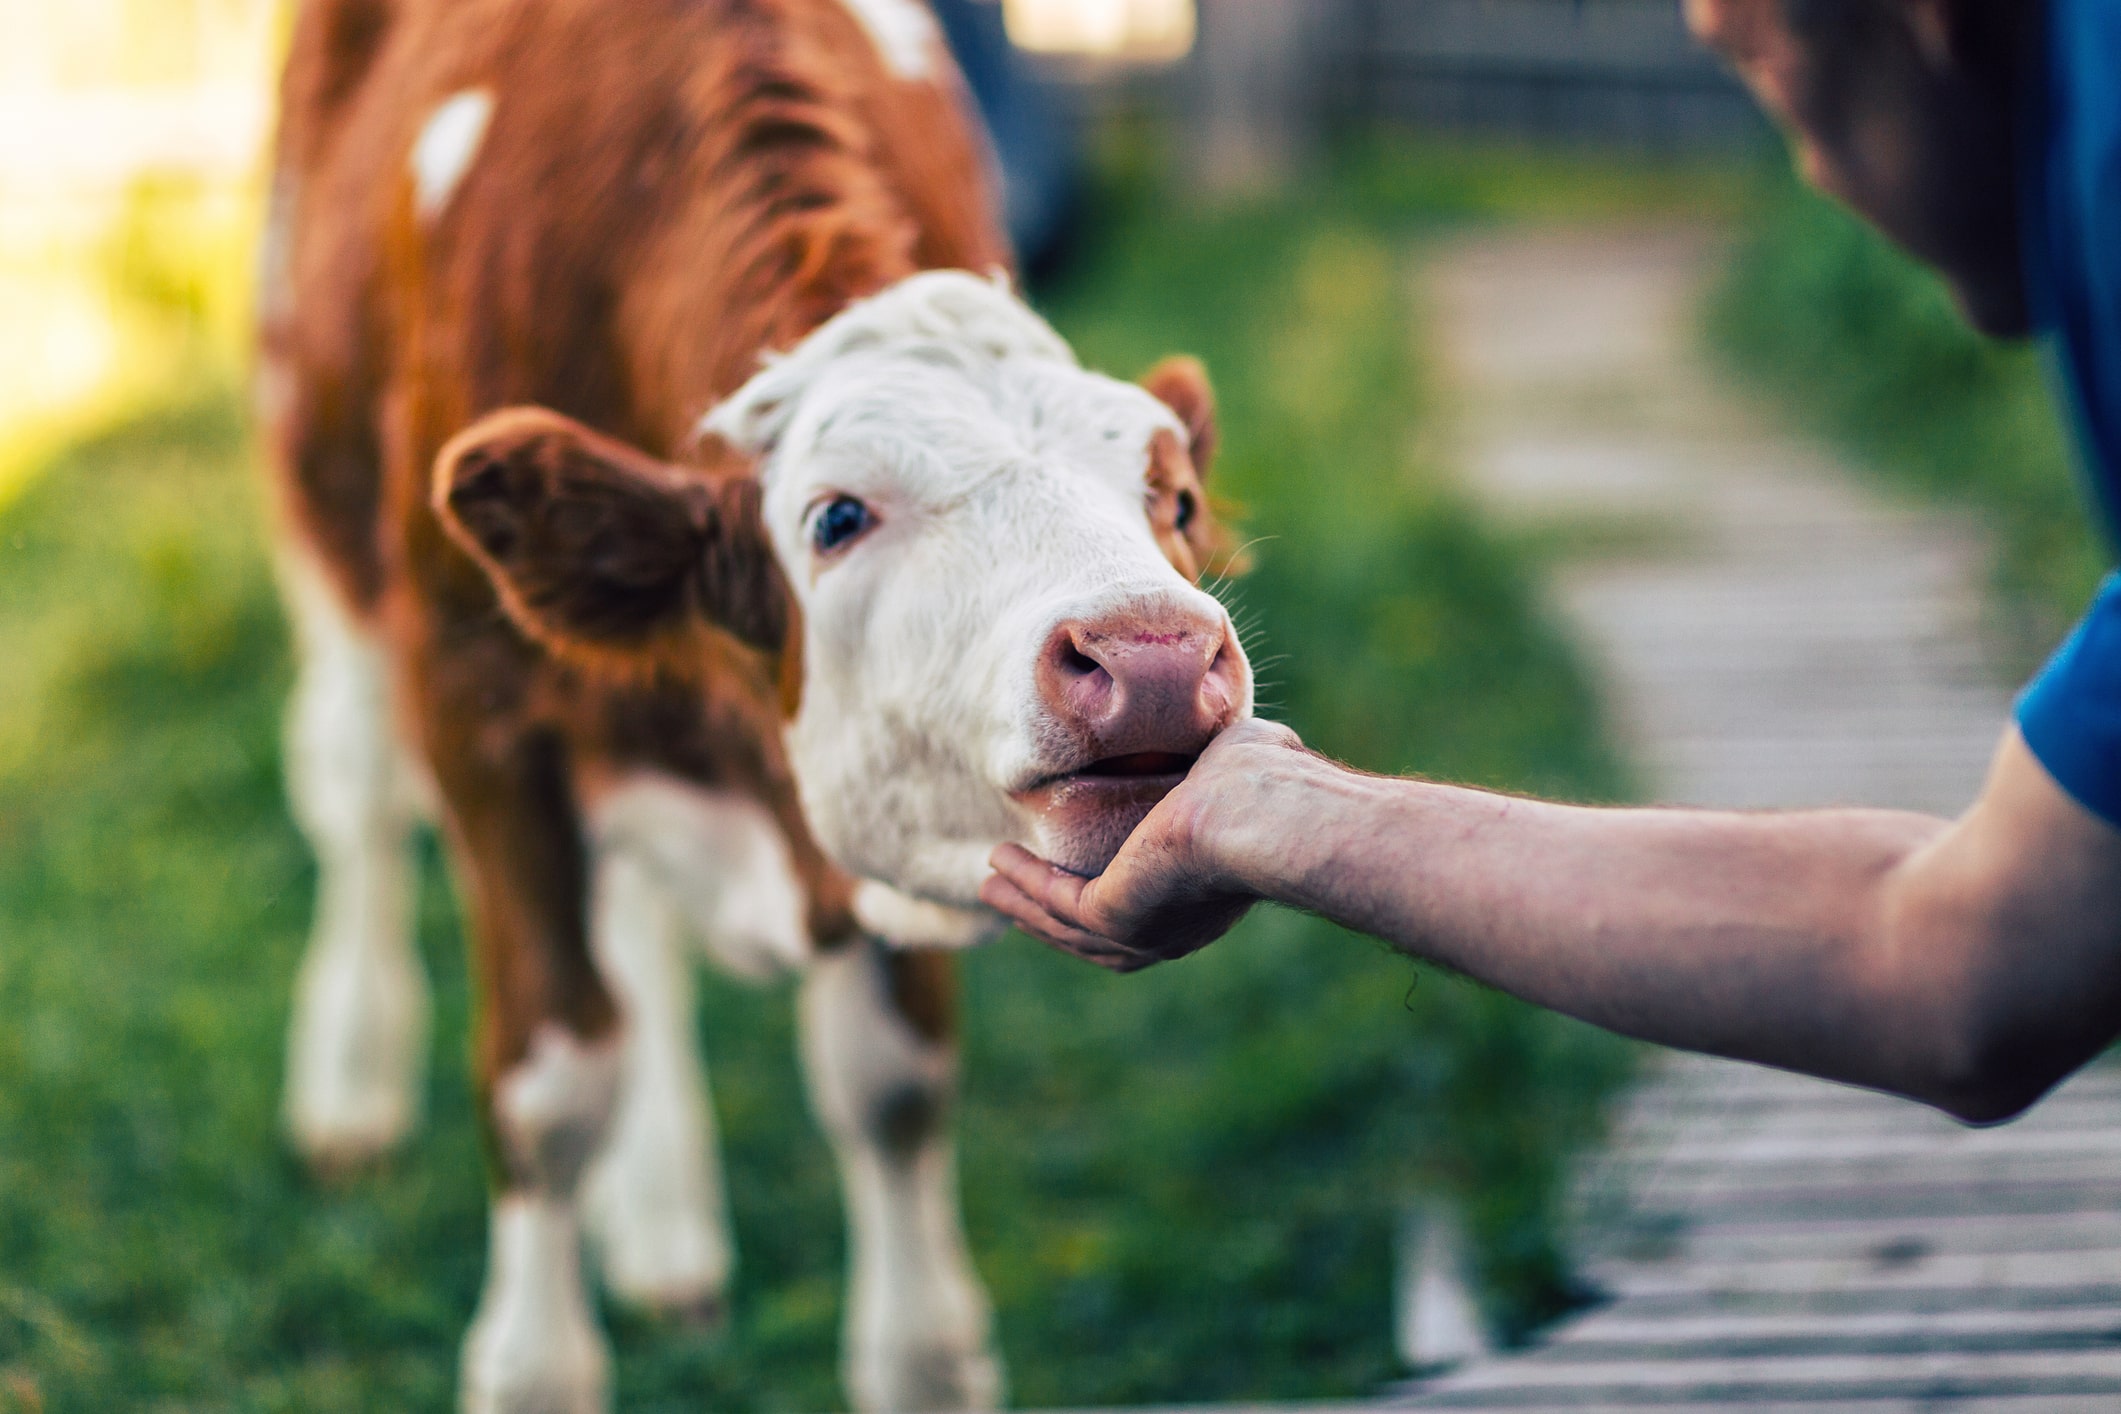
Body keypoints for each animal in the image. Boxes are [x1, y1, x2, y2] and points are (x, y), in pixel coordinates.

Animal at [257, 0, 1252, 1409]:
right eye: (834, 518)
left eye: (1175, 499)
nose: (1153, 655)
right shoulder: (477, 701)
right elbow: (552, 1086)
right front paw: (533, 1361)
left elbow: (891, 1084)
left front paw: (920, 1356)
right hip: (316, 485)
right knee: (354, 798)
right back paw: (351, 1080)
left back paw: (665, 1218)